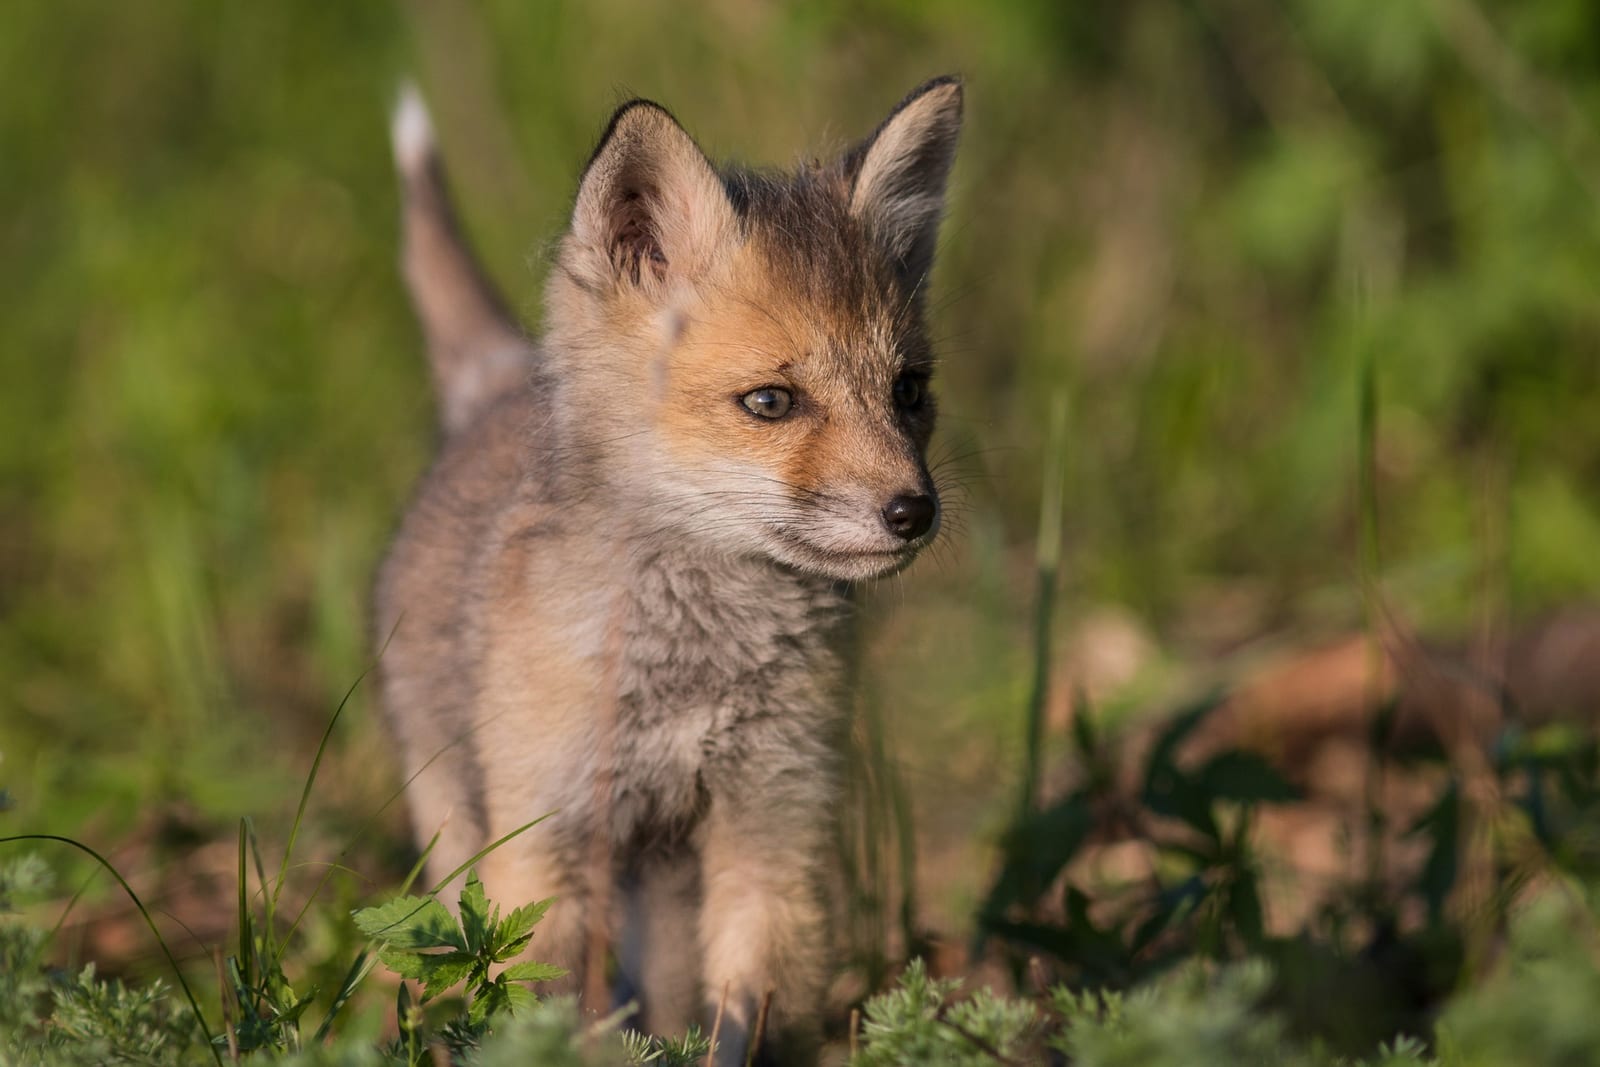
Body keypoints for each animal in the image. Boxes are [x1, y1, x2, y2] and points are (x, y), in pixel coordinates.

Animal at [375, 76, 963, 1063]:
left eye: (908, 392)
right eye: (771, 401)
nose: (914, 512)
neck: (695, 661)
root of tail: (496, 387)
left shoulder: (771, 827)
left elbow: (742, 1014)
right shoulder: (548, 839)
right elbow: (551, 1016)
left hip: (664, 881)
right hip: (465, 827)